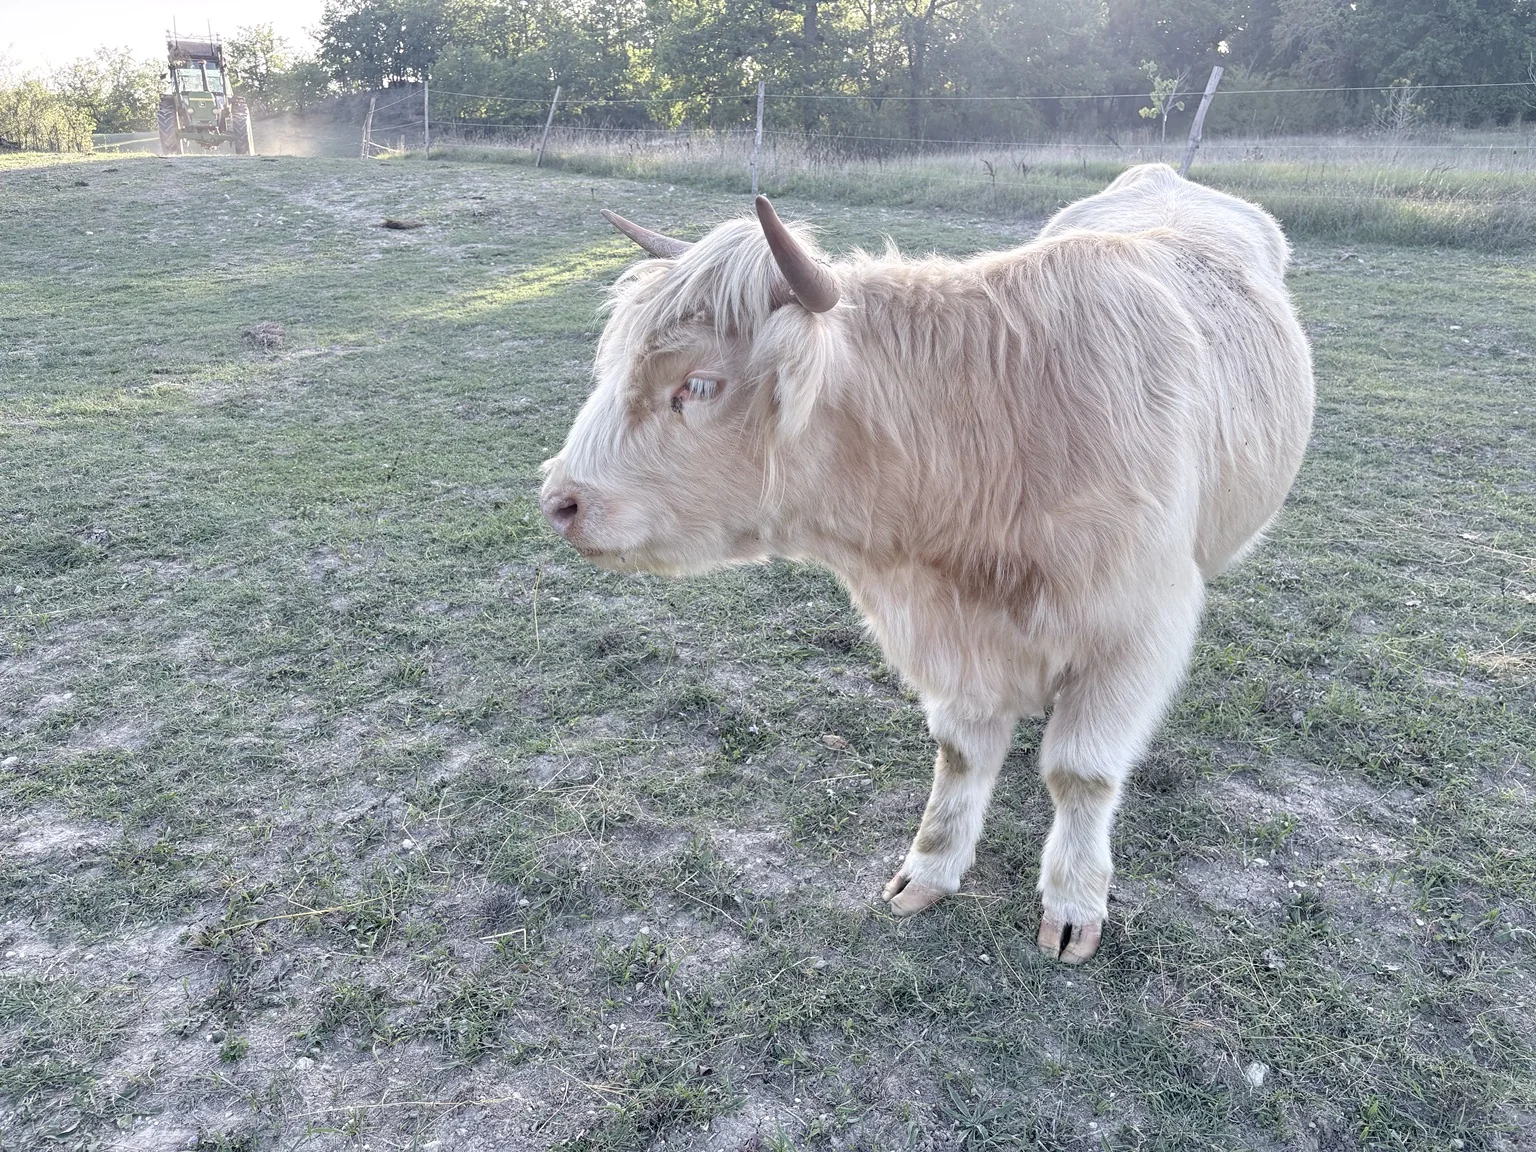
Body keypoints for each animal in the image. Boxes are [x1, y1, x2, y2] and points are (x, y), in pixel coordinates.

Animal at [539, 163, 1314, 963]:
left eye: (697, 385)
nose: (559, 501)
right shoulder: (950, 638)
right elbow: (961, 756)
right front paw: (932, 867)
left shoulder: (1135, 631)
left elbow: (1083, 772)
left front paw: (1073, 902)